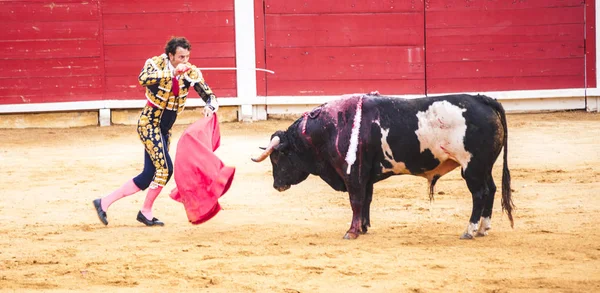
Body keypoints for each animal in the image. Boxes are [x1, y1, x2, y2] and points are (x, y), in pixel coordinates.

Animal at [251, 92, 512, 238]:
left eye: (278, 157)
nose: (277, 185)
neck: (330, 128)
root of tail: (483, 99)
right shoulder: (365, 176)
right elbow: (366, 200)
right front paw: (364, 227)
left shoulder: (352, 174)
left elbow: (356, 201)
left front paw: (352, 232)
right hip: (484, 167)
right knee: (491, 190)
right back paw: (483, 229)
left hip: (472, 167)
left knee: (479, 194)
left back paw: (469, 230)